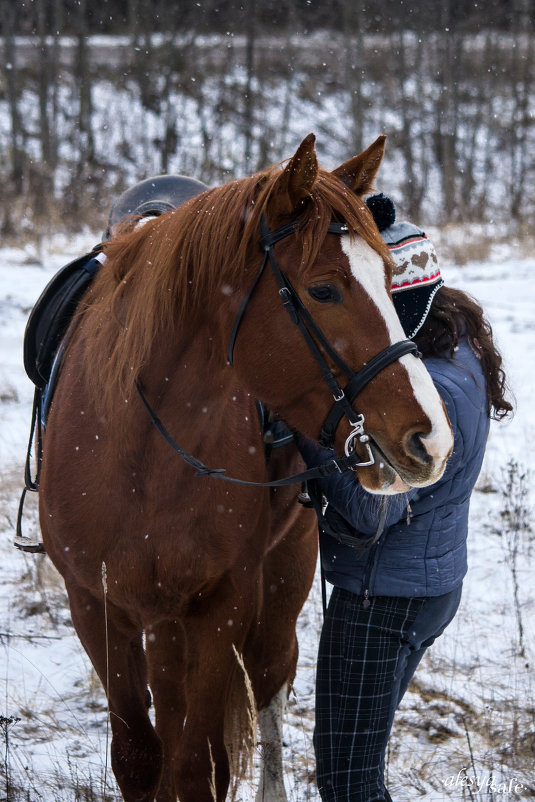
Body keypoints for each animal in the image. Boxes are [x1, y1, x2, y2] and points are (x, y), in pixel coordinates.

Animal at [39, 134, 454, 796]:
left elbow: (198, 767)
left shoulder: (222, 606)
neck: (139, 454)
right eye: (324, 290)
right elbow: (139, 758)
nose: (432, 440)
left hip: (282, 574)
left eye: (390, 279)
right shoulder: (95, 608)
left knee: (267, 685)